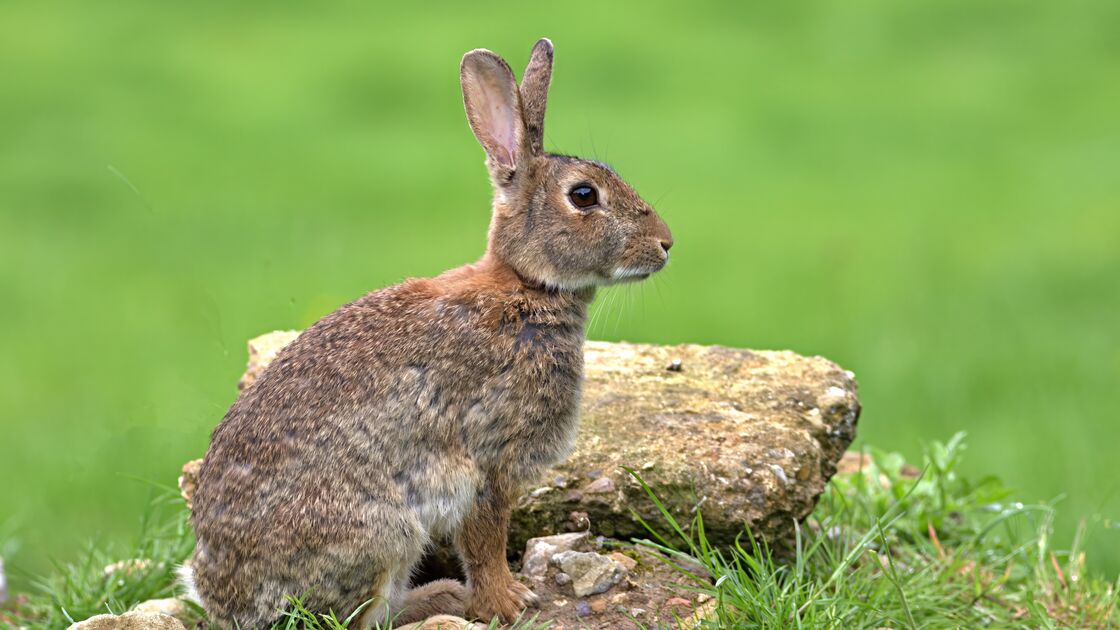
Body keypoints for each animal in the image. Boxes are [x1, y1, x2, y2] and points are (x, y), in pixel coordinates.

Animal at [184, 38, 673, 629]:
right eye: (583, 195)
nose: (666, 243)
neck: (525, 287)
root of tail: (221, 599)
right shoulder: (488, 460)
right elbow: (485, 541)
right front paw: (508, 603)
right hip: (384, 535)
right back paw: (446, 598)